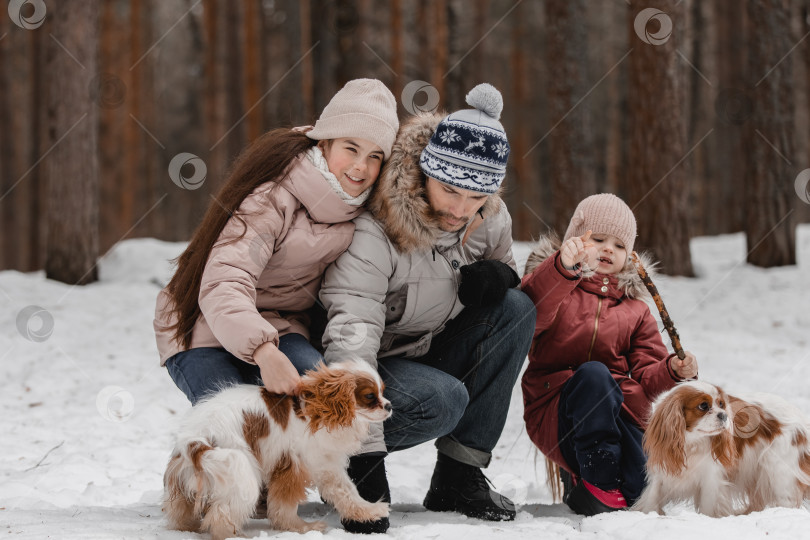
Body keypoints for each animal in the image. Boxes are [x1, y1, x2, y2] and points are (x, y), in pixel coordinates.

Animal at [162, 360, 392, 536]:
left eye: (382, 392)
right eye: (370, 396)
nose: (389, 406)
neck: (319, 408)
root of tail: (196, 437)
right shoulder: (301, 465)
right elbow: (293, 504)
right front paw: (302, 527)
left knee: (181, 511)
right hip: (237, 465)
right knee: (221, 515)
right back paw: (233, 535)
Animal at [632, 380, 808, 516]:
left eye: (722, 404)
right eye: (703, 406)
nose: (724, 414)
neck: (691, 443)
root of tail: (801, 418)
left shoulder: (711, 477)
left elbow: (709, 505)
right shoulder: (662, 469)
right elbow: (652, 497)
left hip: (779, 471)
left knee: (788, 500)